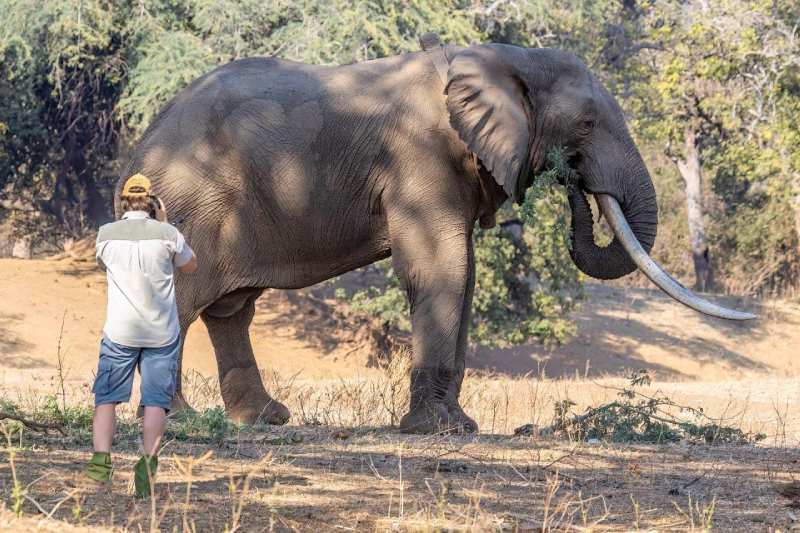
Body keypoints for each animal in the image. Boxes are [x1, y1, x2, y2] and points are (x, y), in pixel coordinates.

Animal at [115, 33, 752, 434]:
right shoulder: (419, 155)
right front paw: (433, 430)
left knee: (232, 310)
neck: (502, 58)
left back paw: (265, 420)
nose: (571, 177)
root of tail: (143, 142)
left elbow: (463, 275)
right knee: (190, 299)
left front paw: (459, 426)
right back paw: (180, 420)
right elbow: (444, 266)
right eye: (587, 124)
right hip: (191, 205)